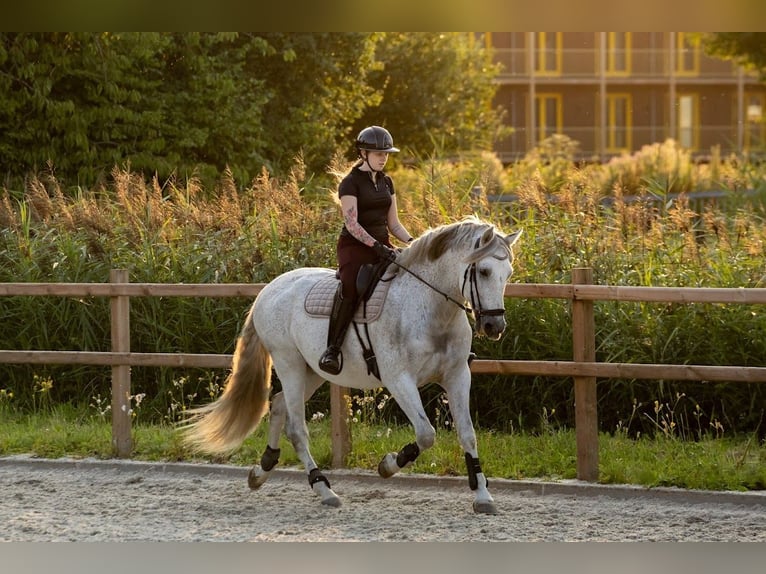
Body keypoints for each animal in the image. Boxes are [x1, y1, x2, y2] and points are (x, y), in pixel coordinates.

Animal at [183, 217, 524, 516]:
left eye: (508, 273)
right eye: (483, 271)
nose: (494, 326)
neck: (430, 308)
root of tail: (270, 288)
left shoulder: (457, 376)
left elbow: (468, 434)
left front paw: (483, 496)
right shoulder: (399, 379)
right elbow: (426, 434)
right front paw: (388, 465)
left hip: (312, 371)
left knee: (279, 406)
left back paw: (262, 469)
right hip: (288, 362)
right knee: (297, 428)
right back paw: (324, 489)